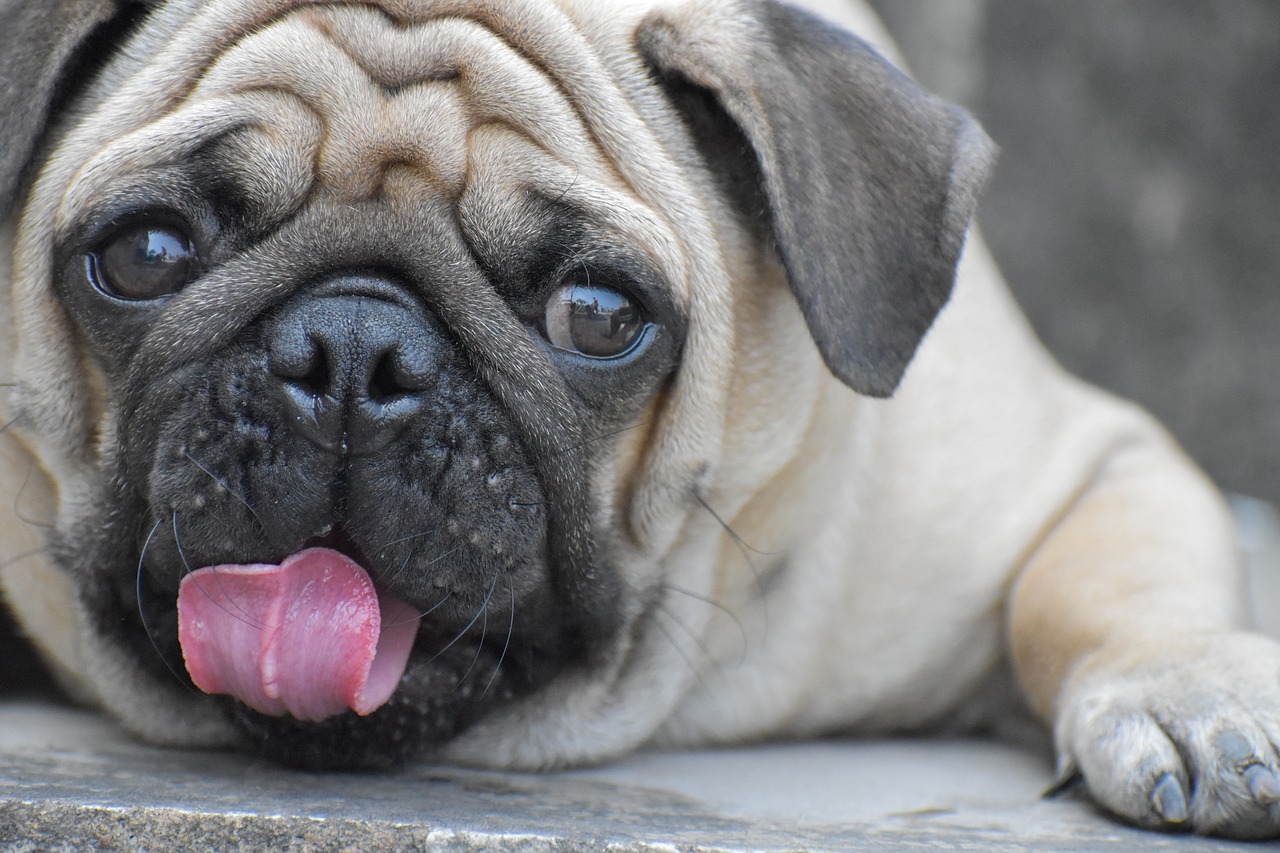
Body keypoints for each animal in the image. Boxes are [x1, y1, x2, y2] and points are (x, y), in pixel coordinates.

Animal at [2, 0, 1280, 835]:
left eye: (599, 315)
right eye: (146, 253)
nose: (353, 351)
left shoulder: (1093, 466)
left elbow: (1097, 581)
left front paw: (1184, 691)